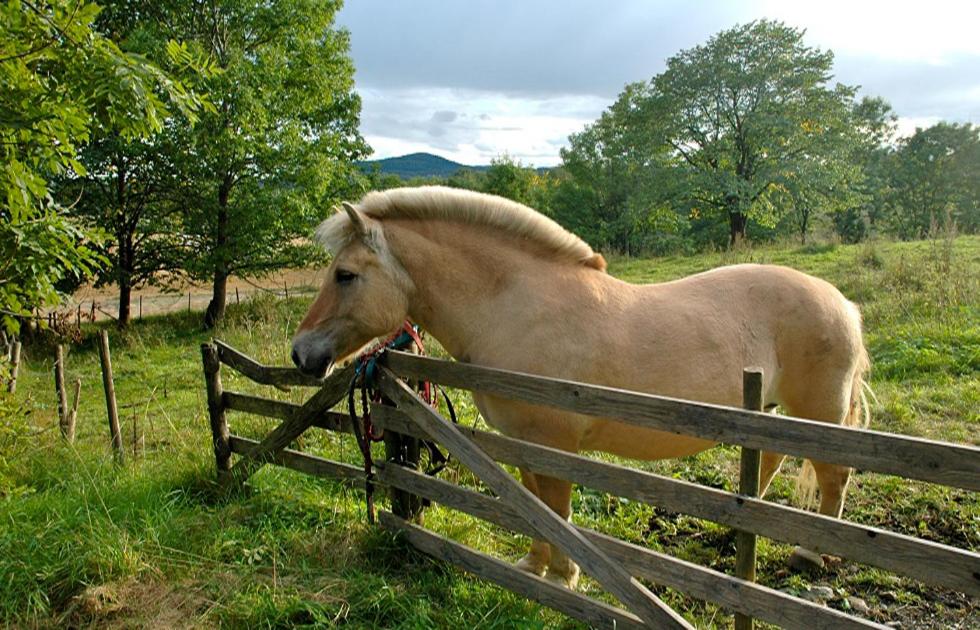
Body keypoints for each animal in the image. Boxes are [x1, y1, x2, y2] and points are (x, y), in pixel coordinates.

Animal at [291, 186, 870, 589]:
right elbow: (535, 504)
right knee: (770, 461)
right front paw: (534, 565)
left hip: (818, 414)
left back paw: (810, 554)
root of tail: (842, 301)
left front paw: (565, 577)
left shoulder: (555, 444)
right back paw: (743, 532)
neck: (514, 307)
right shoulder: (525, 444)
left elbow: (557, 509)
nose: (301, 354)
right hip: (768, 411)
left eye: (345, 275)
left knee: (833, 476)